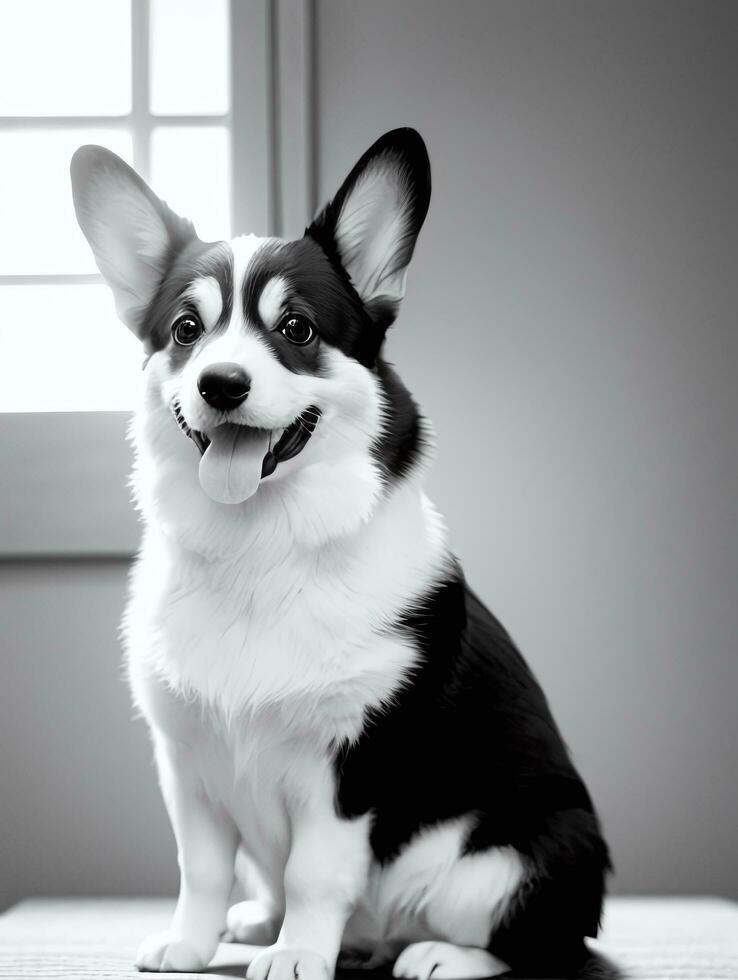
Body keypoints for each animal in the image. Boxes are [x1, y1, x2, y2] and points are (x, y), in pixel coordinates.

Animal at [70, 130, 608, 980]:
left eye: (297, 329)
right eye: (187, 331)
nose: (221, 384)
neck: (261, 545)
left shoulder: (351, 767)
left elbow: (315, 874)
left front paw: (298, 954)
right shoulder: (188, 763)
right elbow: (203, 869)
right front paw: (192, 945)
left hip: (512, 863)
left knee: (548, 946)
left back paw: (435, 956)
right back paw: (263, 924)